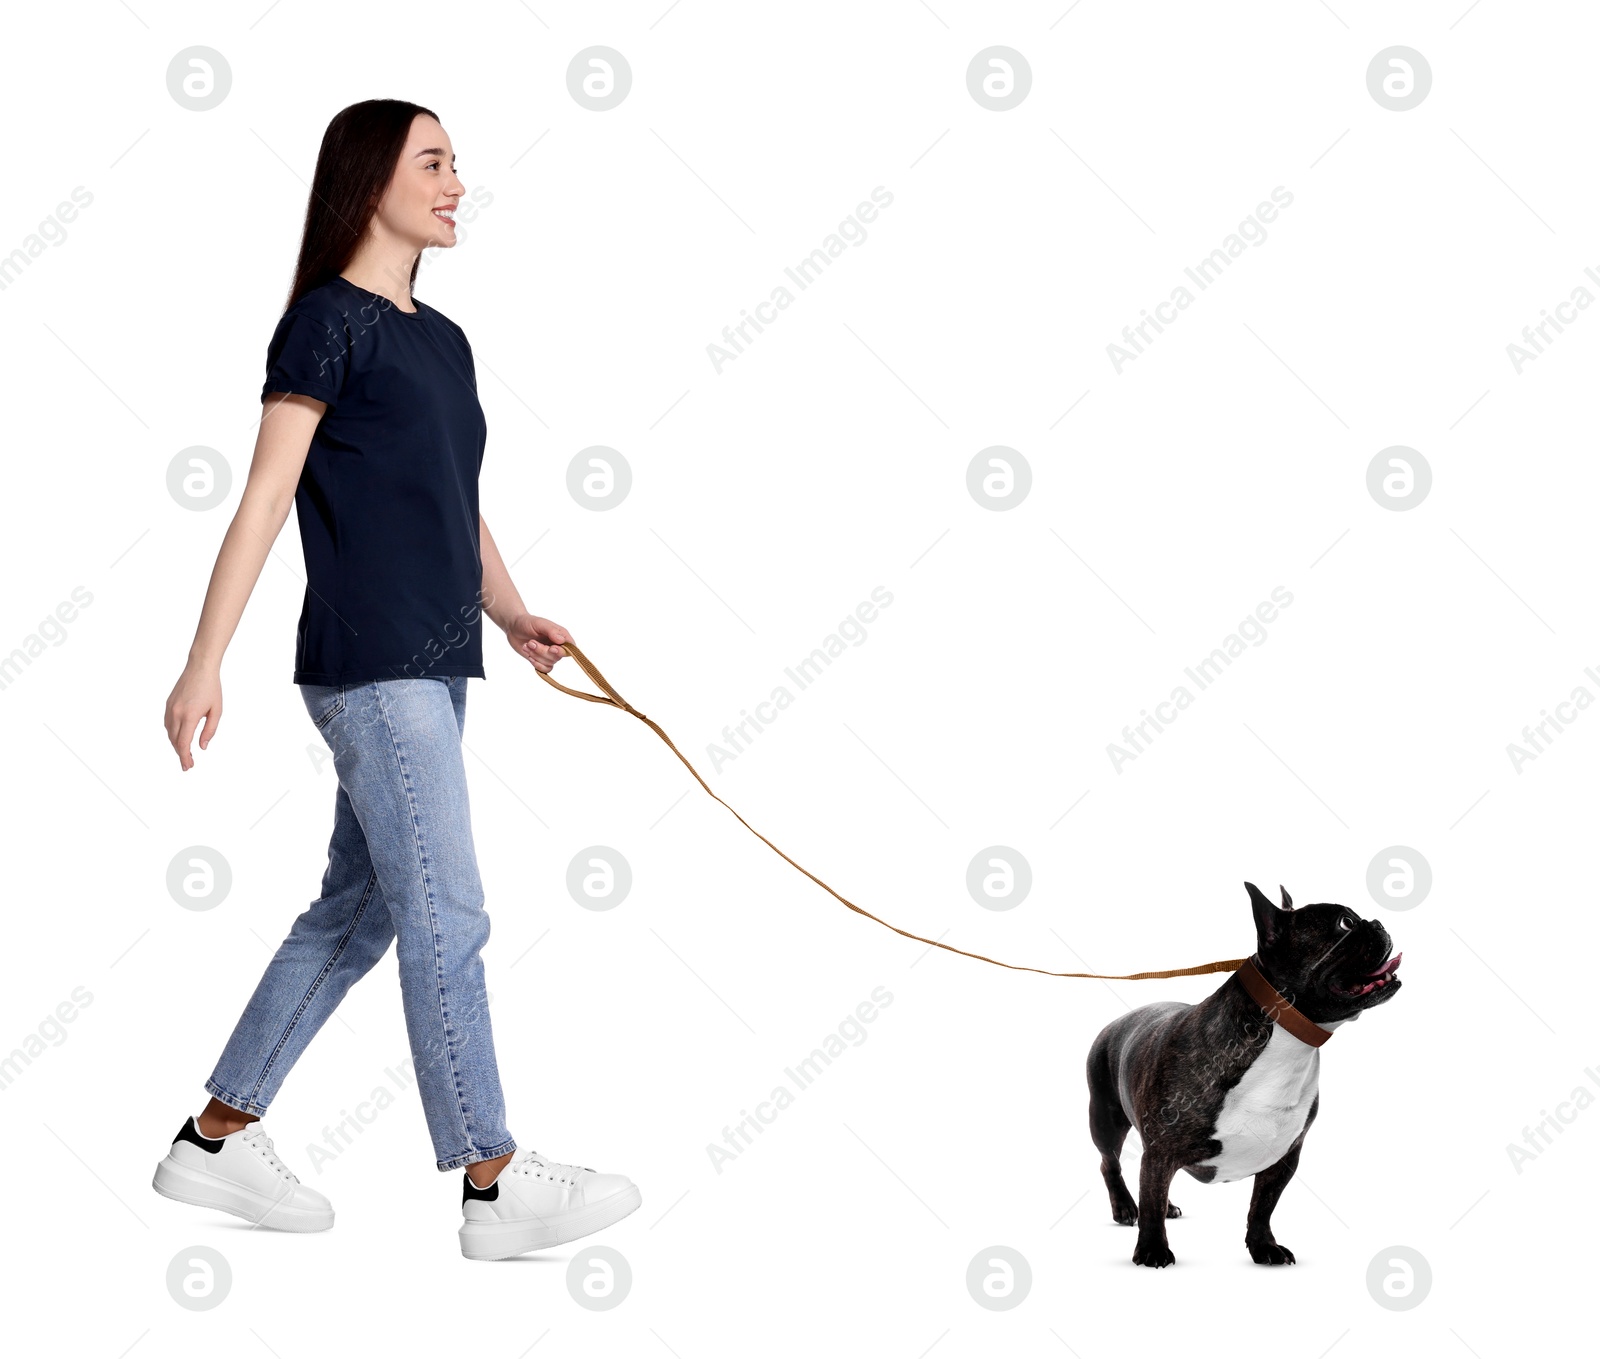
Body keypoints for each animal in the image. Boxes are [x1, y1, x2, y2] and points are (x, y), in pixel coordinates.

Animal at [1088, 883, 1401, 1267]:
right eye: (1345, 923)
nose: (1378, 923)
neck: (1284, 1038)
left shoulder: (1284, 1156)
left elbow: (1262, 1207)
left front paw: (1264, 1246)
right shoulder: (1160, 1152)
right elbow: (1151, 1201)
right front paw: (1152, 1250)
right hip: (1105, 1118)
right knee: (1111, 1164)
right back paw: (1124, 1208)